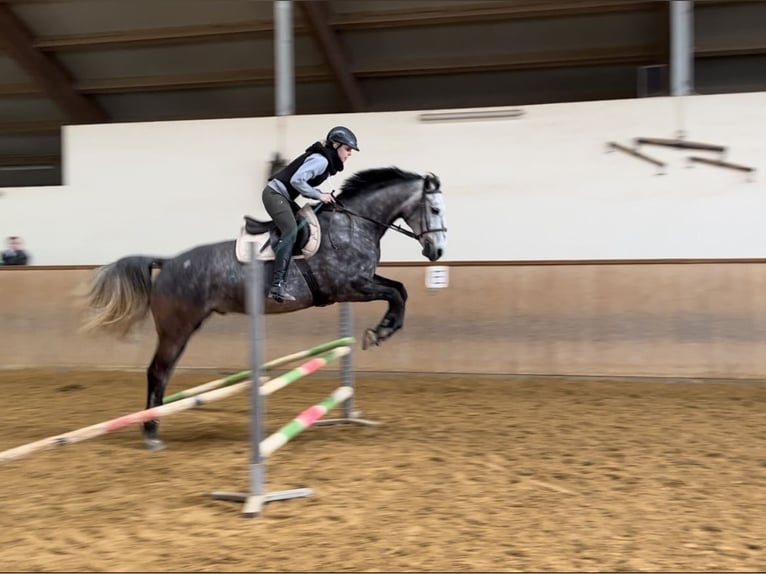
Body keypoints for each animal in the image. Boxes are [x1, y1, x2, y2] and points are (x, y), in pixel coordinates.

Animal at [81, 167, 448, 450]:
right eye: (435, 210)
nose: (438, 251)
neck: (354, 224)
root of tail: (168, 262)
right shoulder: (351, 286)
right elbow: (396, 294)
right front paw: (380, 332)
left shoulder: (362, 282)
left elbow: (399, 290)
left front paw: (382, 330)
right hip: (176, 328)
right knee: (156, 372)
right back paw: (150, 433)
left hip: (184, 329)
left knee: (164, 372)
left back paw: (154, 425)